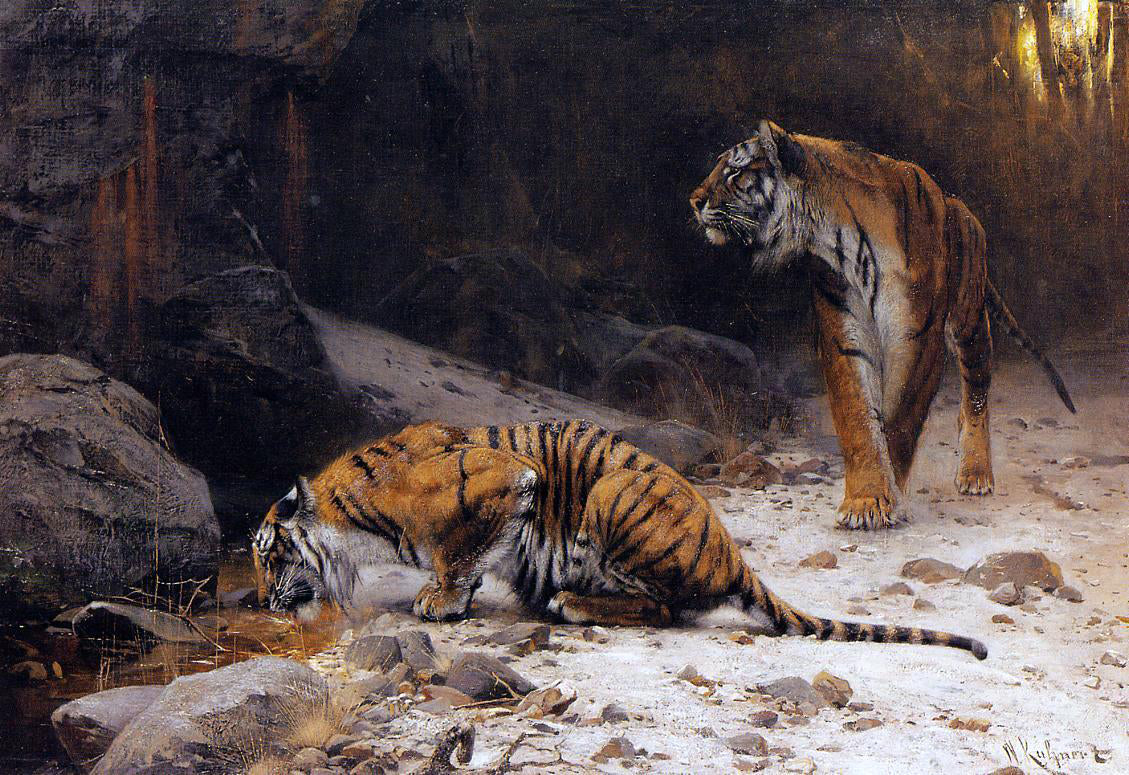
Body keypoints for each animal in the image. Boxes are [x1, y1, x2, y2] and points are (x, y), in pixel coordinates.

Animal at [253, 420, 987, 659]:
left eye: (267, 556)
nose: (260, 603)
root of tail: (732, 554)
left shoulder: (507, 481)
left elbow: (459, 552)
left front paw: (440, 600)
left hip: (612, 495)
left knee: (661, 608)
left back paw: (570, 602)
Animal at [690, 120, 1076, 530]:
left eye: (735, 172)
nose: (694, 201)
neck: (838, 240)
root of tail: (958, 205)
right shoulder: (843, 336)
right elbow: (858, 418)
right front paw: (864, 499)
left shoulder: (917, 338)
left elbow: (902, 418)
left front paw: (891, 497)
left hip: (970, 325)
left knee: (976, 397)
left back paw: (975, 473)